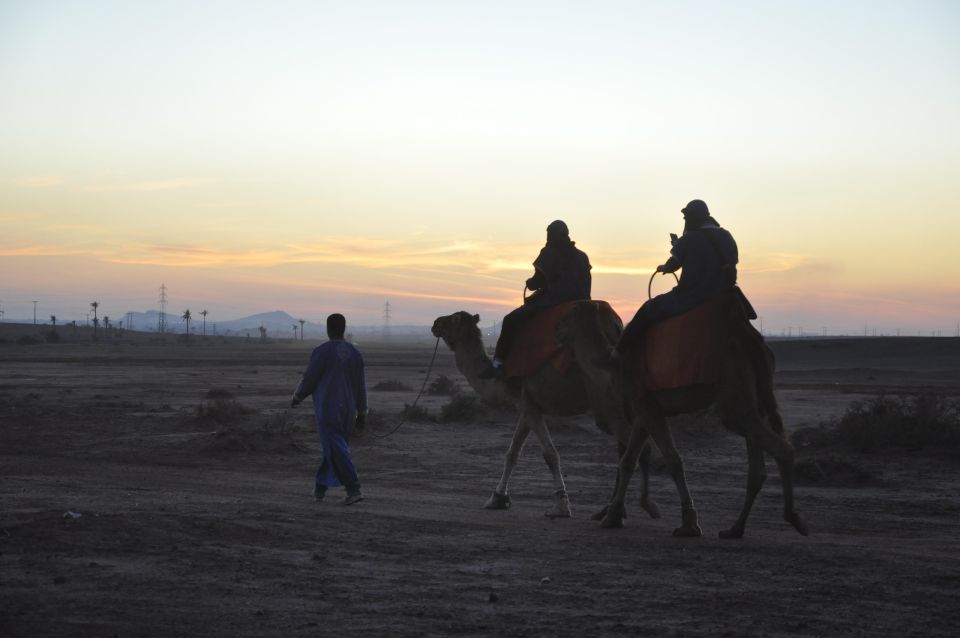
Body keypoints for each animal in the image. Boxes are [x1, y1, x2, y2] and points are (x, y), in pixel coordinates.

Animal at [434, 310, 660, 520]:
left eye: (452, 319)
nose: (435, 323)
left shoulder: (528, 404)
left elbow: (550, 454)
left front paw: (561, 506)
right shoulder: (527, 405)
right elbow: (512, 453)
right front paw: (498, 498)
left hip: (605, 404)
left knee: (639, 447)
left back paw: (633, 507)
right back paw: (610, 509)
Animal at [556, 302, 808, 536]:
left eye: (567, 317)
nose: (556, 333)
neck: (611, 364)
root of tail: (752, 341)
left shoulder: (648, 409)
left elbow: (673, 460)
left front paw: (689, 523)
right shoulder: (644, 410)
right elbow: (628, 460)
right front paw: (613, 516)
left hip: (734, 391)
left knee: (780, 448)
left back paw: (793, 517)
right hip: (753, 397)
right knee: (757, 467)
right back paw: (735, 529)